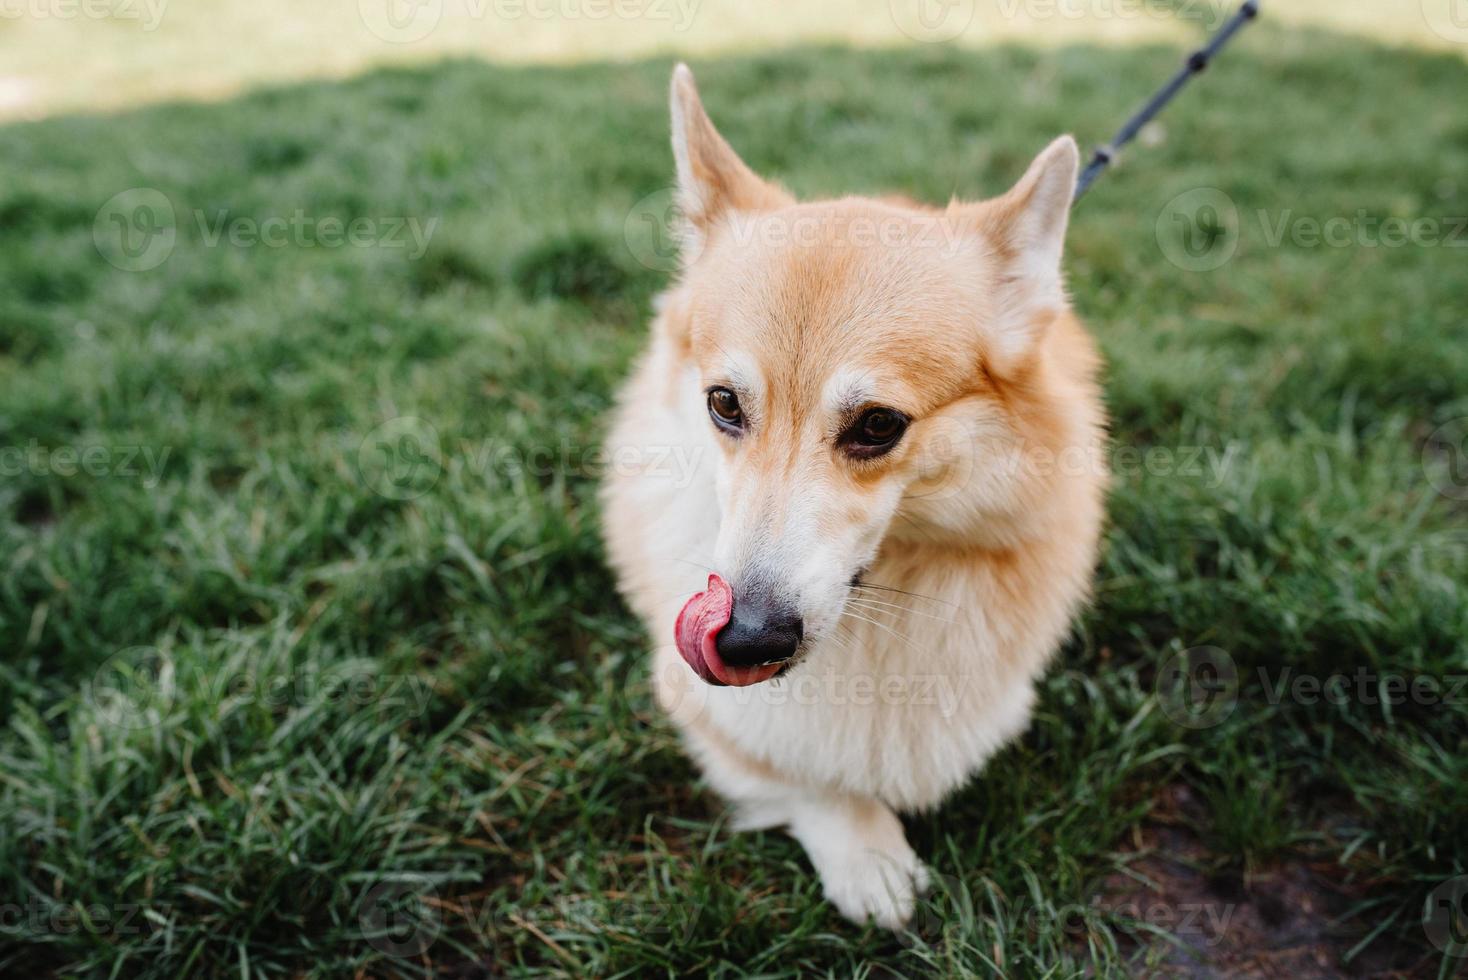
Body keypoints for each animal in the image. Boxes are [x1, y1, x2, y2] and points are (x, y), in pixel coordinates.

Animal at [598, 64, 1103, 933]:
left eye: (878, 425)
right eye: (723, 404)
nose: (746, 641)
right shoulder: (701, 705)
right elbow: (803, 770)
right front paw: (866, 847)